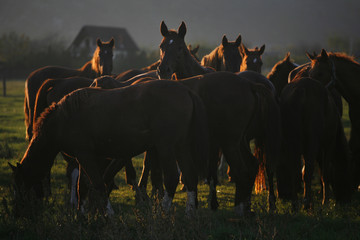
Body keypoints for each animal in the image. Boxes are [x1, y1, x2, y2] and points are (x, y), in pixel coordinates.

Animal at [10, 79, 208, 215]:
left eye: (20, 184)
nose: (17, 212)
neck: (64, 118)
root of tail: (186, 91)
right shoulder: (85, 158)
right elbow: (83, 187)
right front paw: (81, 216)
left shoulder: (86, 156)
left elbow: (98, 185)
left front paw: (108, 214)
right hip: (181, 147)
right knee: (190, 176)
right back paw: (189, 214)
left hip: (166, 147)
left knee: (172, 179)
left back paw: (163, 213)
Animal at [278, 77, 352, 210]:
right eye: (348, 172)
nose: (347, 199)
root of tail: (301, 90)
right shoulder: (328, 144)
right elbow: (325, 173)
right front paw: (325, 201)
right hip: (312, 142)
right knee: (308, 170)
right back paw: (307, 204)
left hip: (292, 142)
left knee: (295, 171)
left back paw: (295, 204)